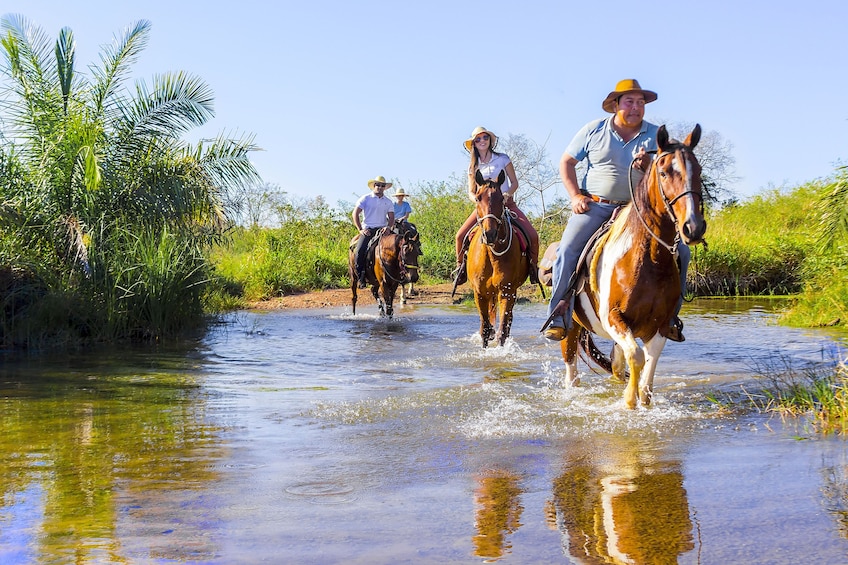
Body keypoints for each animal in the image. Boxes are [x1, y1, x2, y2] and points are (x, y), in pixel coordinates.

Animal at [464, 167, 528, 346]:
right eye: (478, 198)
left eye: (501, 199)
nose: (490, 234)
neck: (491, 255)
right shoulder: (479, 293)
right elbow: (485, 330)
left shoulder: (506, 292)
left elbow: (502, 332)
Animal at [564, 124, 708, 406]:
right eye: (664, 172)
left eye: (698, 171)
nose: (693, 227)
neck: (647, 259)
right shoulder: (613, 318)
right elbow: (637, 357)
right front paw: (630, 401)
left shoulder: (660, 325)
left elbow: (648, 369)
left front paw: (640, 398)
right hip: (570, 326)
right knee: (571, 367)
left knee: (617, 365)